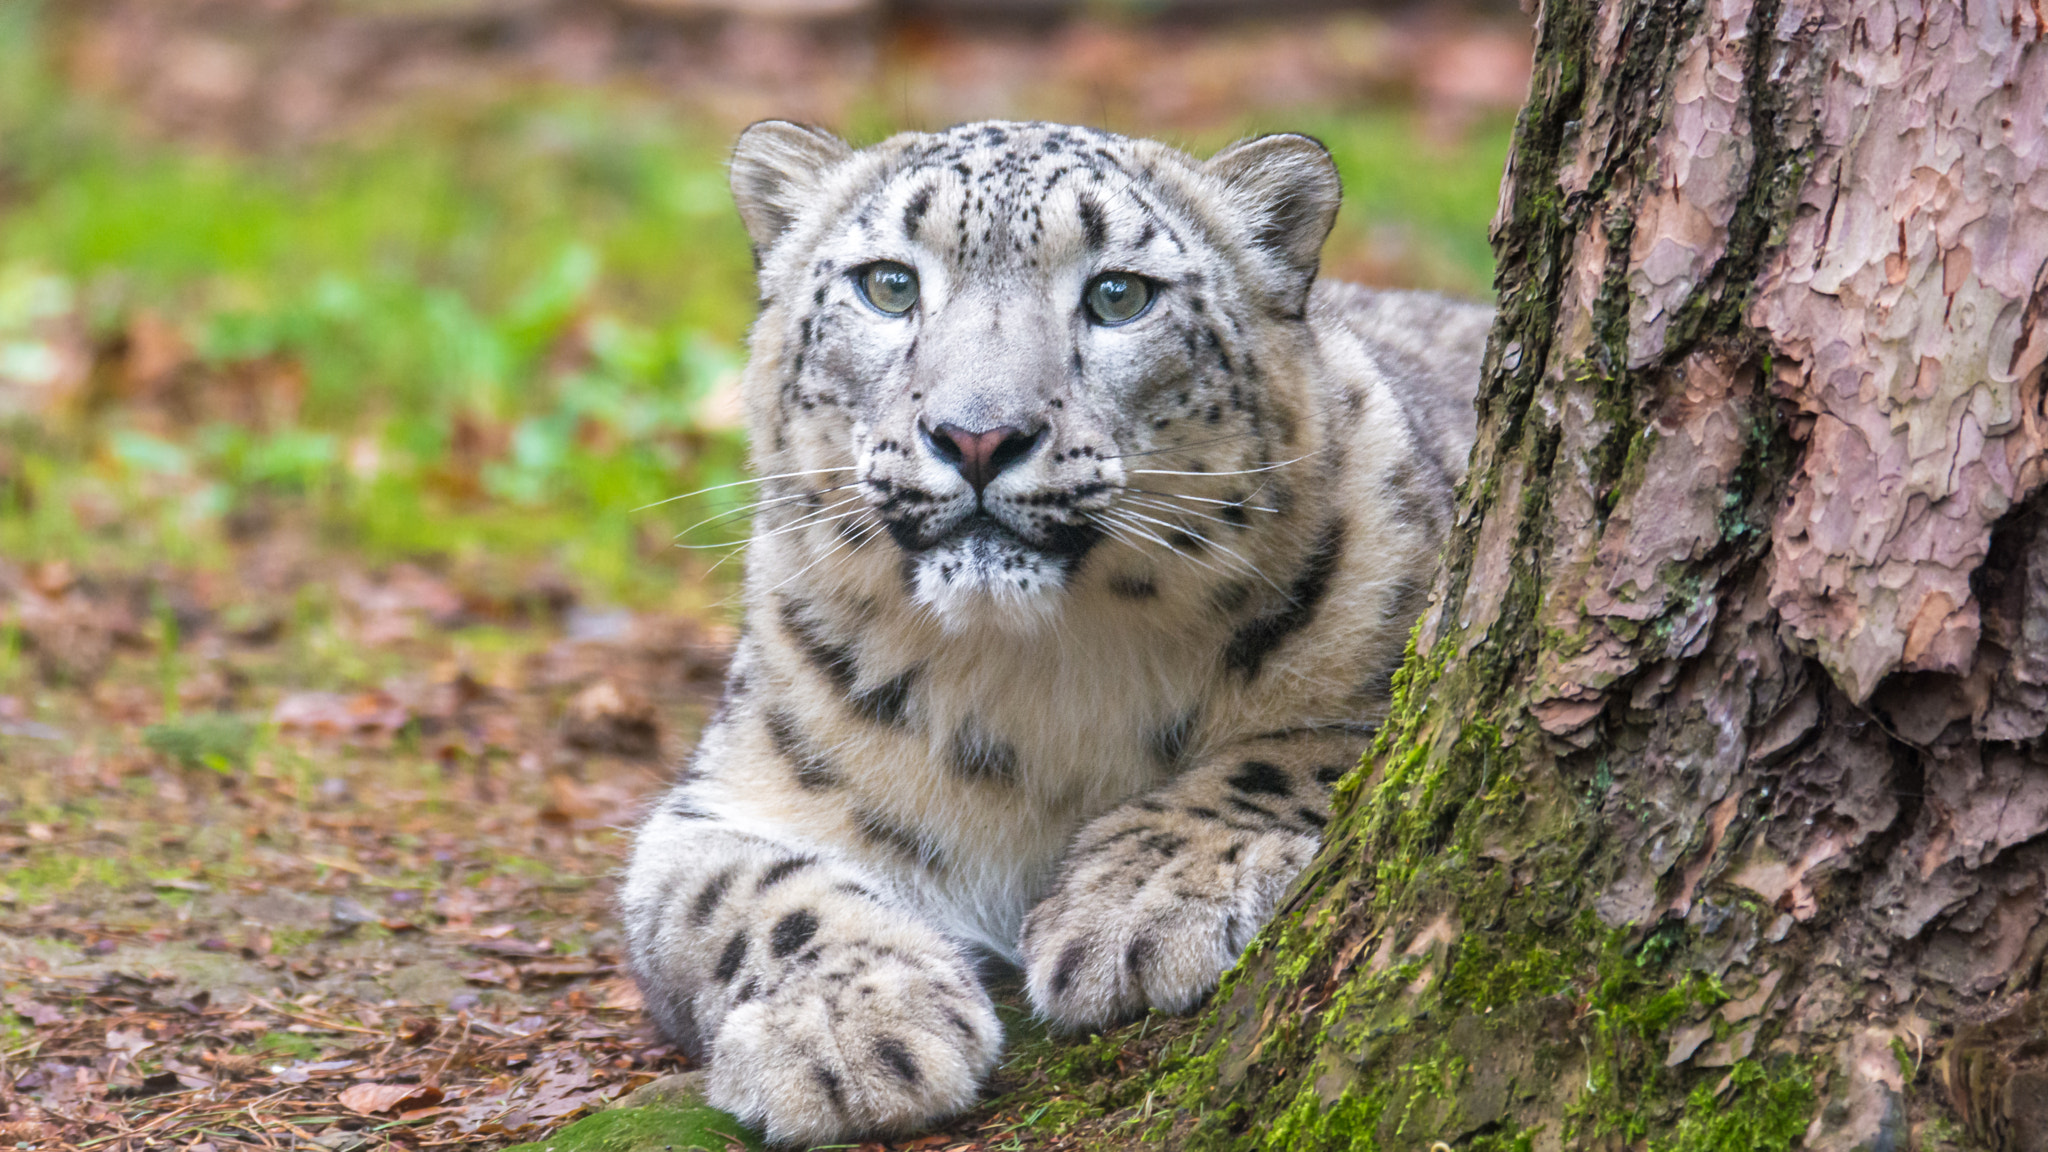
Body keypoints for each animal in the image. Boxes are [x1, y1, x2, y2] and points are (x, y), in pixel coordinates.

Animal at [620, 118, 1490, 1145]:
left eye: (1119, 294)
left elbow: (1310, 749)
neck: (1038, 678)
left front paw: (1143, 901)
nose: (978, 436)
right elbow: (747, 895)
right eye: (890, 284)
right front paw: (848, 1030)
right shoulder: (731, 794)